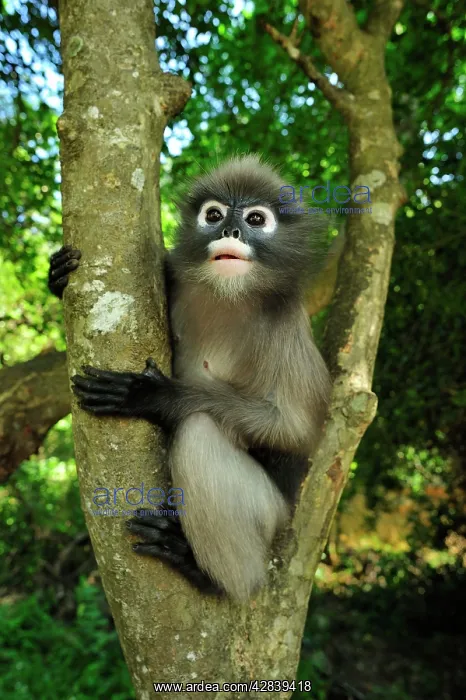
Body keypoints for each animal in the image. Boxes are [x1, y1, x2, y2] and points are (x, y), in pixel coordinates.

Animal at [49, 155, 331, 601]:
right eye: (213, 215)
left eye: (255, 218)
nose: (230, 231)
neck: (227, 295)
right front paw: (57, 276)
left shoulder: (285, 324)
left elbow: (296, 430)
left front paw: (153, 395)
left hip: (269, 514)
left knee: (199, 433)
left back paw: (206, 572)